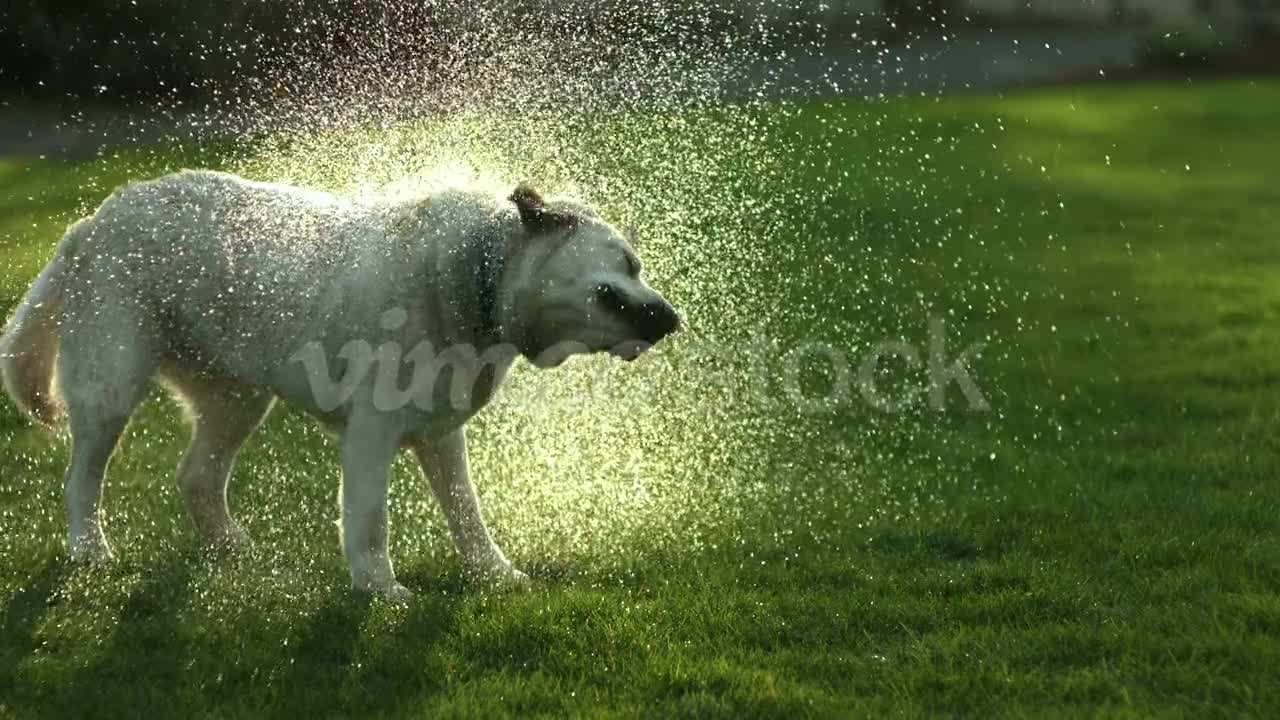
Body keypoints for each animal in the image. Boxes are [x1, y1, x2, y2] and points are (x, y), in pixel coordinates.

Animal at [0, 170, 680, 597]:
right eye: (625, 265)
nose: (672, 318)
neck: (476, 276)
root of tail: (92, 221)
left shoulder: (441, 435)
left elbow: (467, 512)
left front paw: (494, 576)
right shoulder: (371, 435)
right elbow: (371, 520)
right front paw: (379, 589)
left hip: (239, 397)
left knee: (196, 475)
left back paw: (229, 548)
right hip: (113, 385)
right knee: (82, 478)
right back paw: (90, 549)